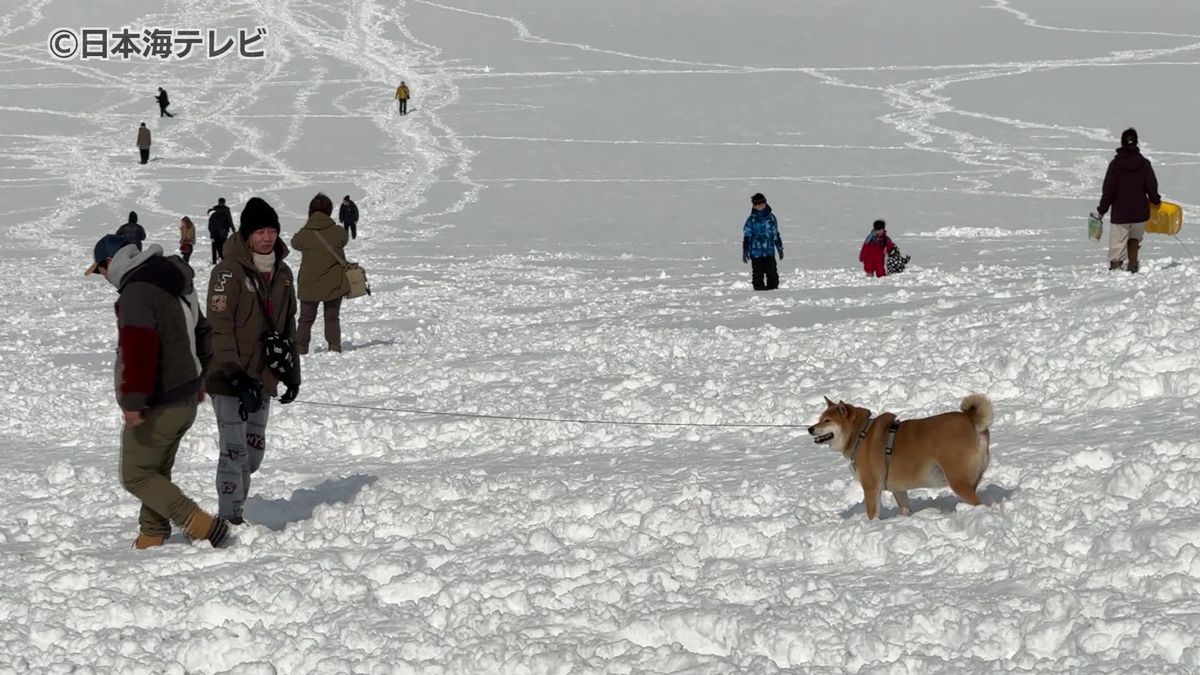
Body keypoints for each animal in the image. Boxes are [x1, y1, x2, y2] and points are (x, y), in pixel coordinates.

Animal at [806, 391, 993, 516]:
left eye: (827, 421)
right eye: (820, 419)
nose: (810, 429)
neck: (861, 434)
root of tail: (969, 419)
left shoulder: (871, 487)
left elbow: (872, 514)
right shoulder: (899, 490)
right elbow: (904, 508)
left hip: (957, 480)